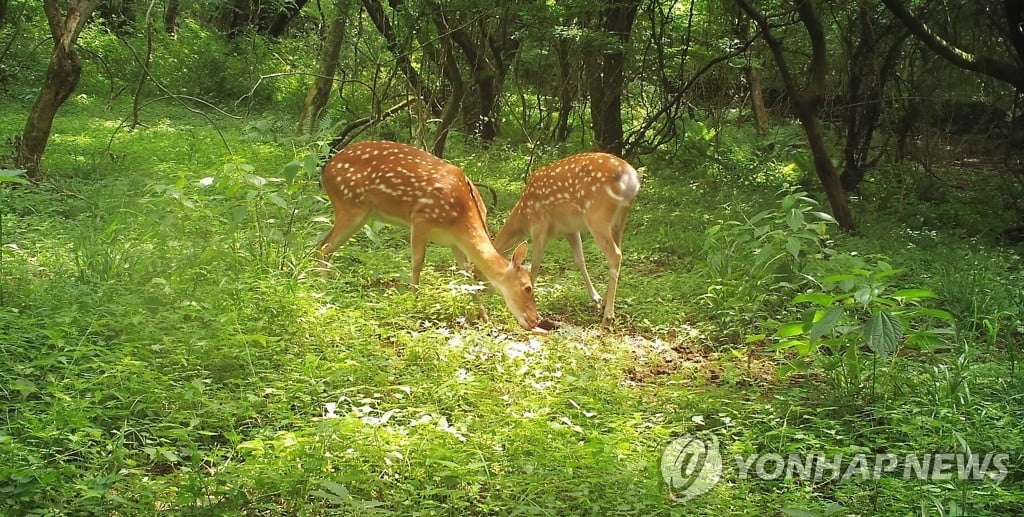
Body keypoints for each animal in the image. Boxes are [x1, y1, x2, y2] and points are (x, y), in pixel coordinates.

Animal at [315, 140, 544, 329]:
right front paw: (412, 303)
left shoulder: (454, 242)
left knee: (321, 244)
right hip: (351, 206)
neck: (461, 217)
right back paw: (323, 290)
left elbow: (467, 273)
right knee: (325, 247)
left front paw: (485, 318)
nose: (534, 320)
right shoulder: (420, 218)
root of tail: (326, 169)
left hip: (358, 213)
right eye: (527, 288)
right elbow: (417, 262)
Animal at [489, 152, 638, 323]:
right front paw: (596, 298)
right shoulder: (570, 229)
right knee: (617, 252)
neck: (523, 217)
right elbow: (579, 261)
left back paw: (608, 315)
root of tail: (632, 180)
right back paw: (605, 304)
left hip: (597, 216)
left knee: (615, 255)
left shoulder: (539, 225)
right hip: (619, 221)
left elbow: (535, 264)